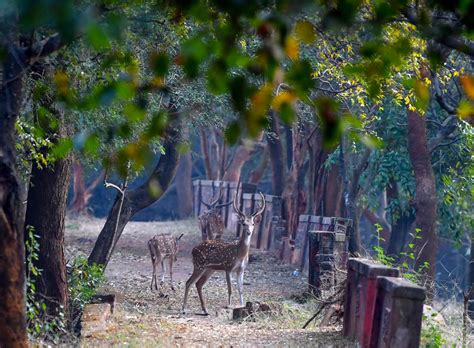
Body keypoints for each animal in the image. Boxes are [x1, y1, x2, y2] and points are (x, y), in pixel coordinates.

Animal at [181, 188, 264, 316]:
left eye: (253, 223)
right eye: (244, 224)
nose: (249, 232)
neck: (240, 254)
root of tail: (193, 249)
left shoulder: (241, 270)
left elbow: (241, 289)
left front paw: (242, 305)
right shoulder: (228, 267)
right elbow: (230, 288)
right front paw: (229, 306)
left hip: (209, 268)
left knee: (198, 284)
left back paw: (205, 310)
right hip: (199, 265)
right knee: (189, 282)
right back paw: (184, 309)